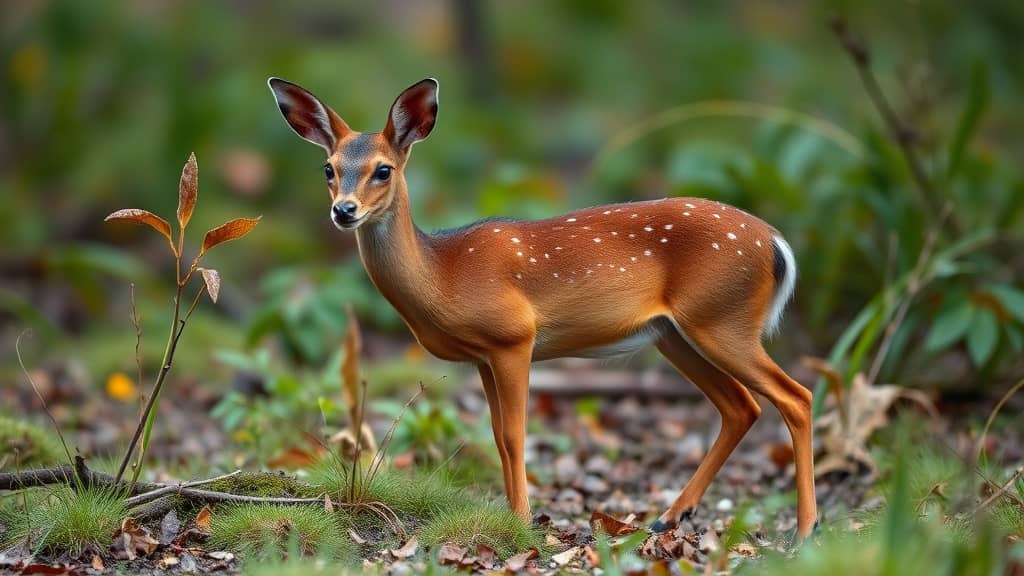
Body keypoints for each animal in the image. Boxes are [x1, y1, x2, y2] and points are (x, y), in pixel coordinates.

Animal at [268, 77, 817, 538]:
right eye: (329, 169)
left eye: (383, 169)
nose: (344, 211)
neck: (443, 277)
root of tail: (776, 243)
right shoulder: (483, 356)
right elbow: (495, 434)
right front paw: (515, 514)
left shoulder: (514, 336)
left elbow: (515, 434)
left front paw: (524, 520)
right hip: (675, 334)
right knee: (741, 406)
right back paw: (669, 516)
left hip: (722, 320)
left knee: (796, 396)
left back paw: (805, 529)